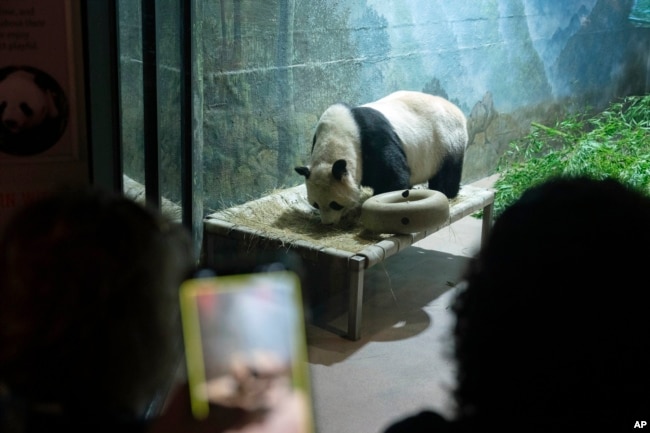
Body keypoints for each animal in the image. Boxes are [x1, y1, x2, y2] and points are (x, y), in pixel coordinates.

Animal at [294, 91, 466, 226]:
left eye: (335, 204)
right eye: (316, 204)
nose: (328, 223)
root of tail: (456, 109)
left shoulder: (372, 140)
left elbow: (392, 177)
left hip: (446, 141)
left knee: (447, 173)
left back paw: (446, 192)